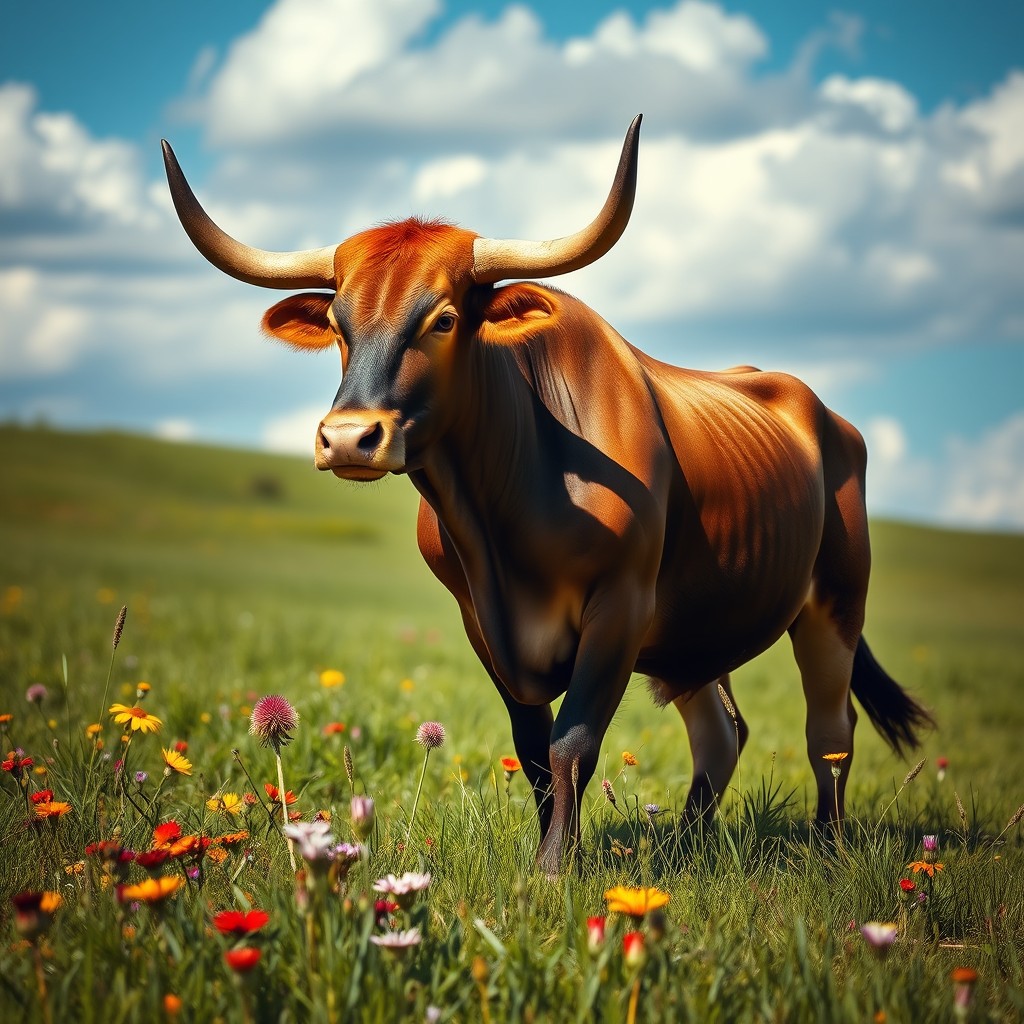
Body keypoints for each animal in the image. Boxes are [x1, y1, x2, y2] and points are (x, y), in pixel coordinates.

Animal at [162, 115, 933, 875]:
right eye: (337, 326)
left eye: (444, 319)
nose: (349, 438)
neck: (505, 513)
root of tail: (820, 412)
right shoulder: (481, 620)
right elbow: (533, 749)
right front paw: (551, 854)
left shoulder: (621, 608)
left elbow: (572, 742)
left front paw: (556, 868)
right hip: (700, 634)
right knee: (722, 732)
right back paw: (686, 846)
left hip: (836, 603)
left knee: (829, 732)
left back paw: (827, 850)